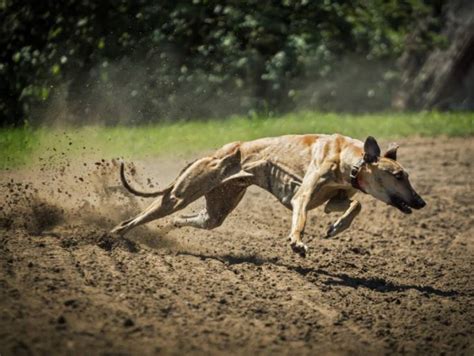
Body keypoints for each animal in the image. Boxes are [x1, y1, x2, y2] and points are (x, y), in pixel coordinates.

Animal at [111, 135, 426, 258]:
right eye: (399, 176)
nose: (421, 202)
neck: (350, 159)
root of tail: (213, 154)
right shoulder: (302, 198)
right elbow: (300, 220)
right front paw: (297, 243)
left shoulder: (334, 200)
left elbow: (356, 203)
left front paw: (336, 227)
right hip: (178, 195)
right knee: (134, 220)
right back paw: (113, 235)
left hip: (216, 210)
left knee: (193, 218)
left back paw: (167, 228)